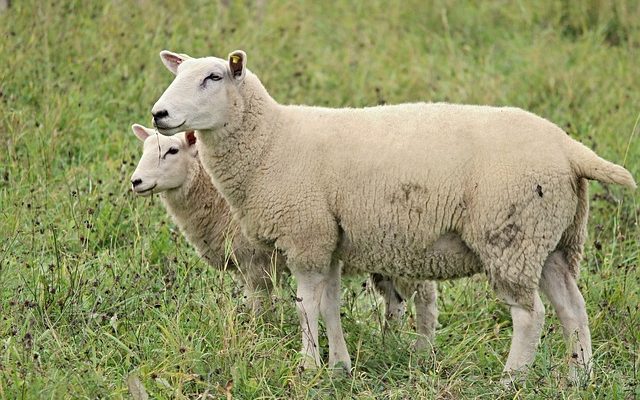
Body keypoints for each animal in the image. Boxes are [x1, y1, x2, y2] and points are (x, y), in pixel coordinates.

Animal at [128, 125, 436, 328]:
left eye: (172, 150)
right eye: (144, 150)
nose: (136, 181)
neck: (217, 199)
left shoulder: (257, 264)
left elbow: (260, 305)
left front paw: (260, 333)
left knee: (425, 296)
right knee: (394, 300)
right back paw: (390, 339)